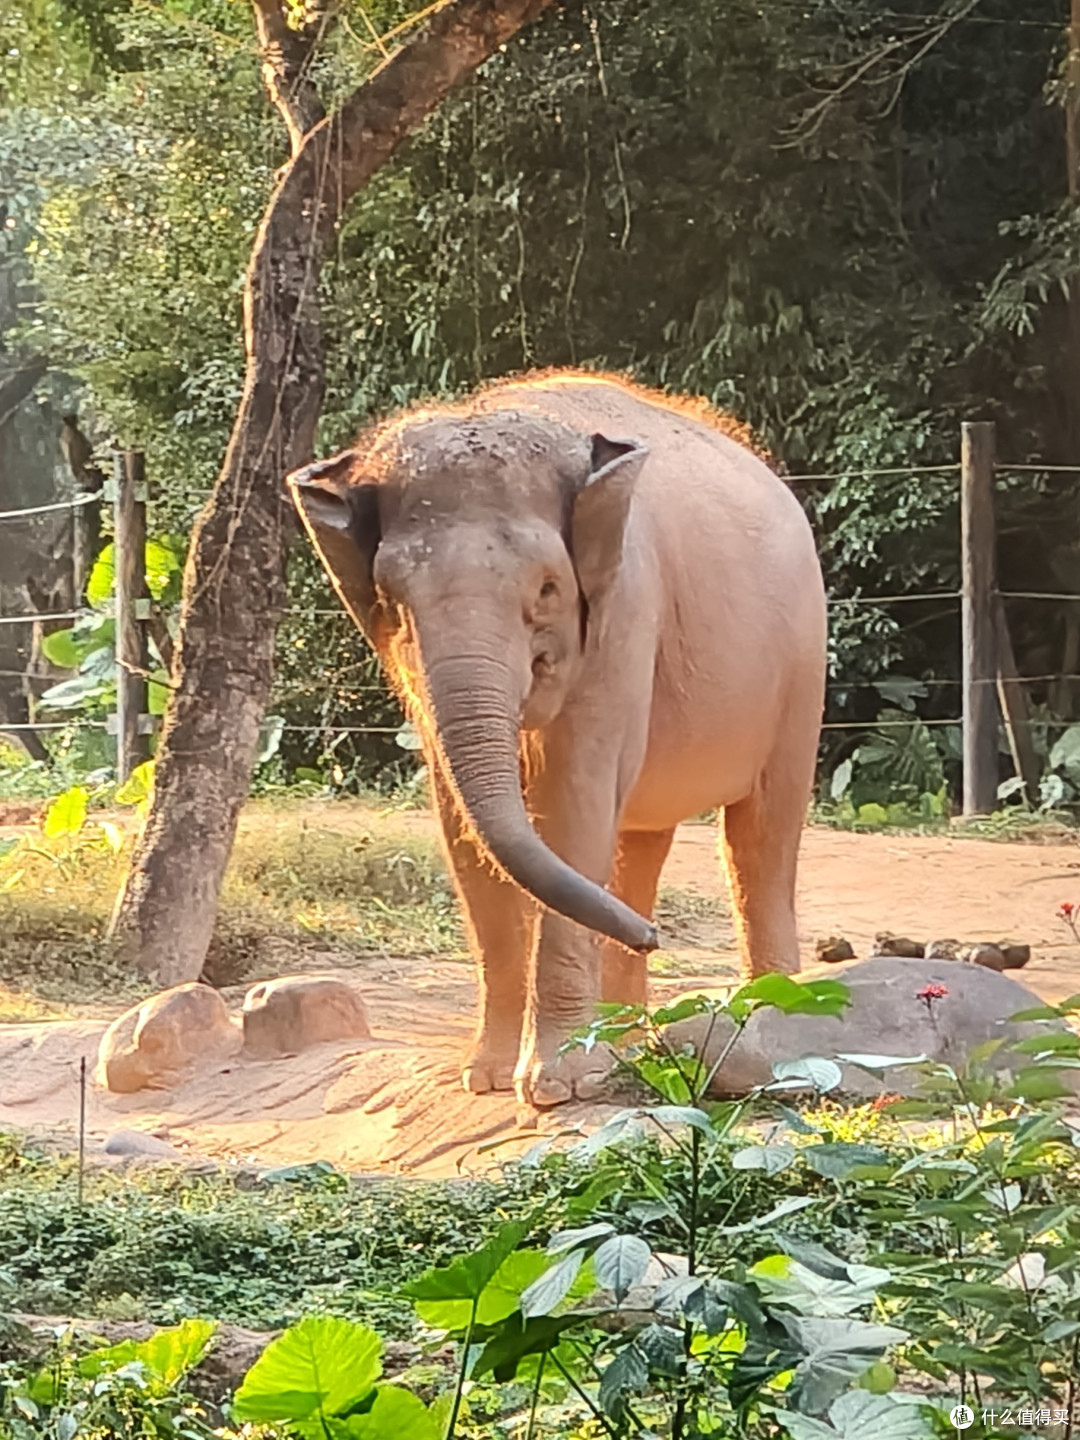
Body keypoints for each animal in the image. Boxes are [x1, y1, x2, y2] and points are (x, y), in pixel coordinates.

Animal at [287, 370, 827, 1107]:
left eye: (547, 588)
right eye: (392, 600)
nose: (655, 939)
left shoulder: (625, 612)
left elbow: (572, 803)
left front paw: (556, 1087)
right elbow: (463, 827)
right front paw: (486, 1077)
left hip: (802, 664)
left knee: (761, 837)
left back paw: (764, 1015)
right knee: (637, 846)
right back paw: (630, 1040)